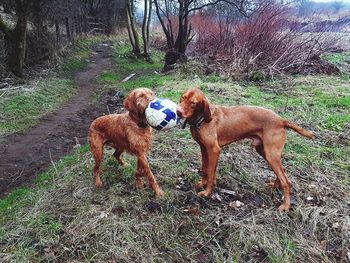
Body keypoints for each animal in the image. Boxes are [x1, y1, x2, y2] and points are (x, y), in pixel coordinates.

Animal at [176, 87, 316, 211]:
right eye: (183, 97)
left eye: (193, 103)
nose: (178, 111)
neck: (202, 120)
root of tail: (281, 120)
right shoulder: (204, 148)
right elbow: (205, 169)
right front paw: (202, 184)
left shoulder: (214, 150)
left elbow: (210, 174)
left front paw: (207, 193)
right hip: (264, 151)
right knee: (283, 172)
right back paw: (274, 186)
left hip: (271, 154)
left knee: (286, 181)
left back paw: (285, 206)